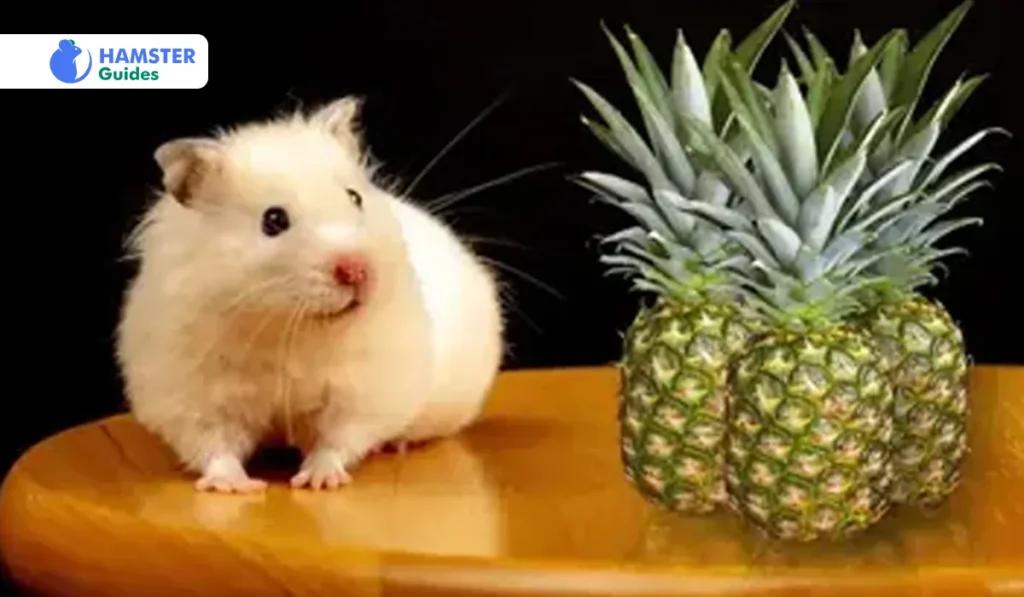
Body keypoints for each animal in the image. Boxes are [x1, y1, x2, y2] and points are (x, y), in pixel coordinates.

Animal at [115, 96, 505, 493]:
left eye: (355, 197)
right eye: (273, 220)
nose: (358, 270)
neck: (289, 328)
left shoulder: (360, 392)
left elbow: (337, 440)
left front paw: (318, 481)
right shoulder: (194, 397)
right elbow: (214, 446)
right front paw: (236, 486)